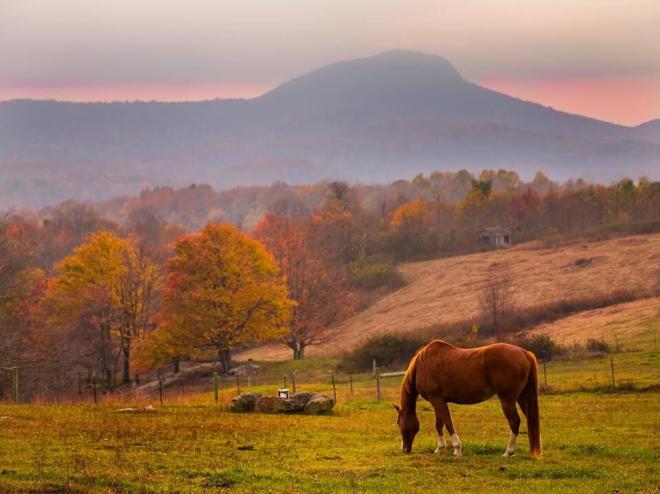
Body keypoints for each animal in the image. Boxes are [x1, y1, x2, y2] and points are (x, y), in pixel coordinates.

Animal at [392, 342, 540, 458]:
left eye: (400, 424)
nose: (405, 449)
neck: (422, 365)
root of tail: (524, 353)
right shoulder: (438, 401)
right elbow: (439, 424)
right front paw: (440, 449)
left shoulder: (437, 400)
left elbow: (448, 423)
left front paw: (457, 449)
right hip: (522, 399)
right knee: (528, 419)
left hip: (507, 400)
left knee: (514, 421)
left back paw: (509, 452)